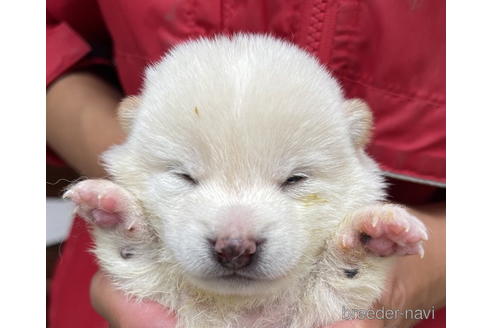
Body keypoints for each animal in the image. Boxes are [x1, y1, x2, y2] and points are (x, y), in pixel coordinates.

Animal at [64, 34, 426, 326]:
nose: (234, 247)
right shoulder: (158, 293)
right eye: (184, 176)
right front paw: (115, 214)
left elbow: (342, 278)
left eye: (294, 179)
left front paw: (370, 235)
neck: (239, 306)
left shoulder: (323, 308)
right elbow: (139, 260)